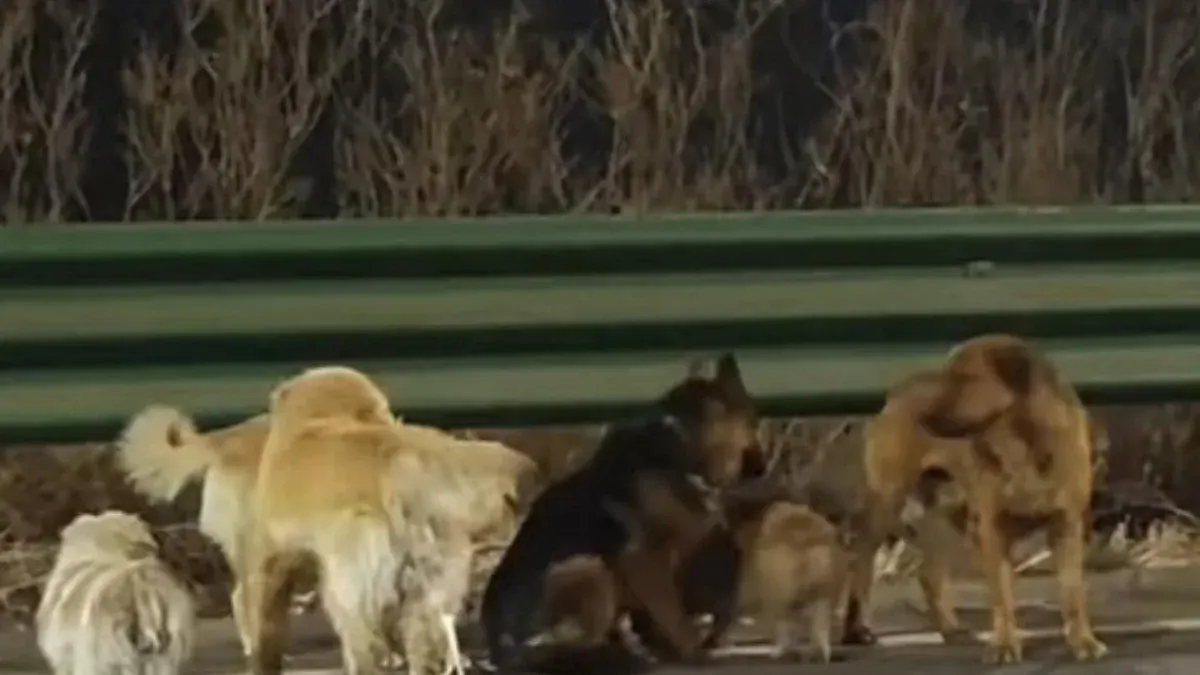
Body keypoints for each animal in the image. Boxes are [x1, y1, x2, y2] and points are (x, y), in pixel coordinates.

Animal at [481, 353, 764, 672]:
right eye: (753, 422)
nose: (762, 468)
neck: (678, 447)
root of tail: (500, 648)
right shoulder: (642, 559)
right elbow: (675, 617)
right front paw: (692, 651)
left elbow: (657, 618)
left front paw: (665, 648)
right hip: (586, 568)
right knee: (556, 647)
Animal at [843, 334, 1107, 664]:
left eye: (965, 378)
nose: (922, 415)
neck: (1022, 445)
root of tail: (898, 392)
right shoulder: (993, 529)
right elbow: (1002, 596)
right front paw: (1004, 644)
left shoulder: (1067, 525)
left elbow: (1073, 592)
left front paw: (1083, 641)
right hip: (890, 505)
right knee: (862, 563)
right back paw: (855, 630)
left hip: (952, 514)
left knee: (929, 573)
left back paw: (951, 629)